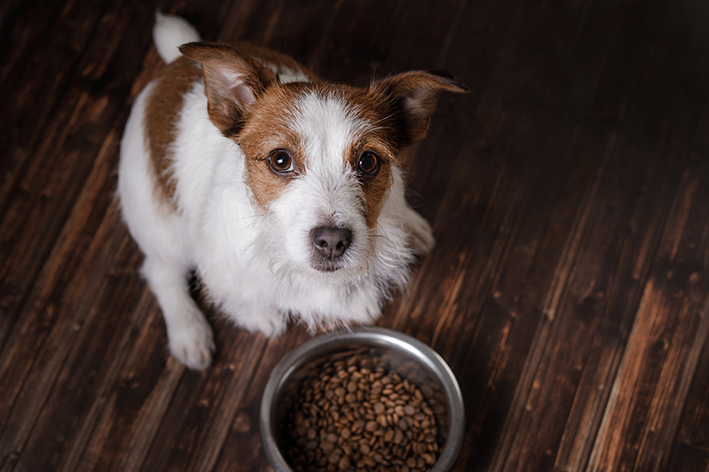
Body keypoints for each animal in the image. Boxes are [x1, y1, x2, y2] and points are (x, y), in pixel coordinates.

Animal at [118, 12, 468, 370]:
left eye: (368, 161)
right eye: (280, 160)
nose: (332, 241)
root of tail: (174, 66)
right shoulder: (218, 263)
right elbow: (241, 296)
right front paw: (259, 316)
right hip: (162, 229)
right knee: (161, 272)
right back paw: (189, 332)